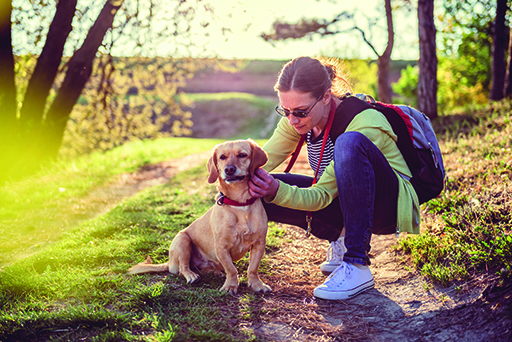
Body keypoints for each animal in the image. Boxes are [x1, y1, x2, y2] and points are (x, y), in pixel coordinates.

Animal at [127, 139, 270, 294]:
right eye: (222, 157)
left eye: (242, 155)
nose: (229, 169)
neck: (239, 203)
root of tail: (170, 263)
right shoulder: (221, 247)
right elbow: (231, 269)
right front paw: (231, 285)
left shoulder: (259, 244)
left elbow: (252, 268)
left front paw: (257, 284)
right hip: (182, 241)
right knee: (183, 268)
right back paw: (191, 275)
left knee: (207, 268)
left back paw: (215, 272)